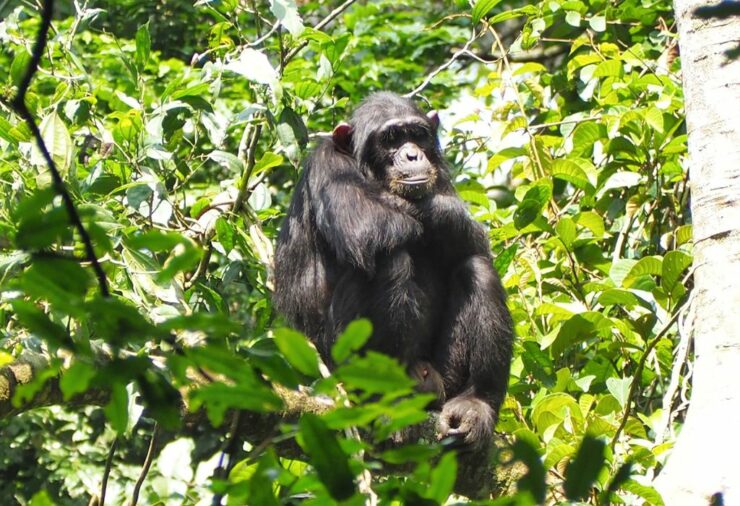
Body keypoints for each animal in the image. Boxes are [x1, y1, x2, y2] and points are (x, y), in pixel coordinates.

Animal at [274, 91, 512, 450]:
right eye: (390, 139)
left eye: (416, 134)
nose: (412, 154)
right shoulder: (327, 164)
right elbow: (365, 223)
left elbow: (471, 242)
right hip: (340, 369)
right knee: (391, 259)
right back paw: (386, 401)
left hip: (445, 377)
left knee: (476, 268)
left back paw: (476, 403)